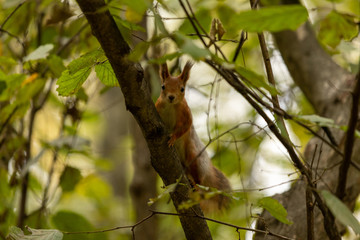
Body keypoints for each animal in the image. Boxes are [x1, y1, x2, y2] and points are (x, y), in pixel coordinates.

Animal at [155, 60, 231, 212]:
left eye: (182, 89)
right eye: (163, 86)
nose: (171, 97)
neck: (171, 106)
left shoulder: (186, 115)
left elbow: (185, 128)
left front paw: (173, 138)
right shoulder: (157, 107)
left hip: (194, 157)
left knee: (199, 180)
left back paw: (195, 184)